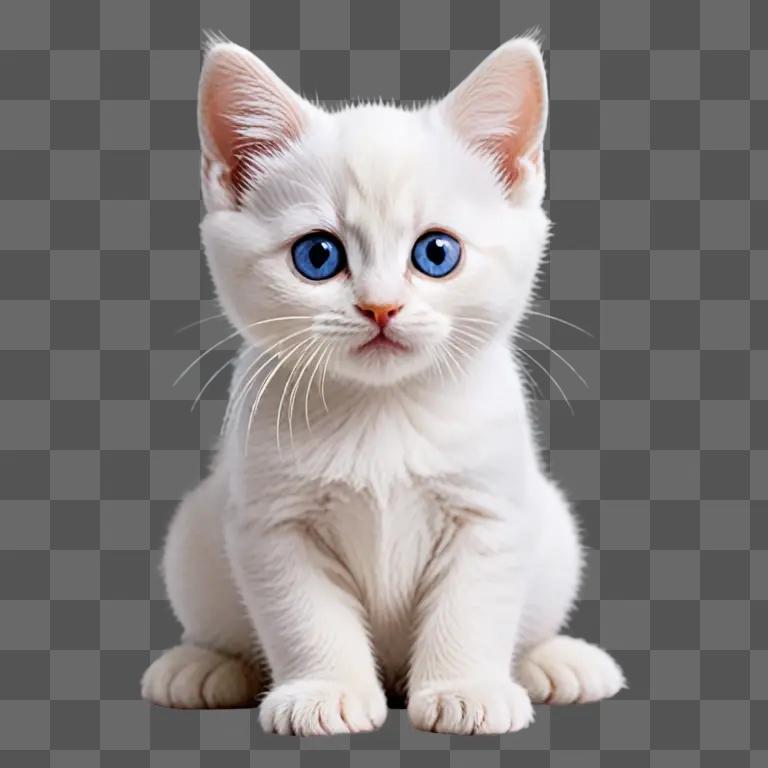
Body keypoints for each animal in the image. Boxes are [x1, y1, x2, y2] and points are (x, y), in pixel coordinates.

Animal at [142, 37, 624, 736]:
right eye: (317, 256)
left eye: (436, 254)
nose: (380, 307)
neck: (382, 413)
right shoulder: (273, 523)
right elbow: (306, 617)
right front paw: (326, 692)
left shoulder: (490, 512)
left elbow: (472, 609)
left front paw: (465, 690)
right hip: (195, 535)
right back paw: (203, 666)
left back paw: (555, 661)